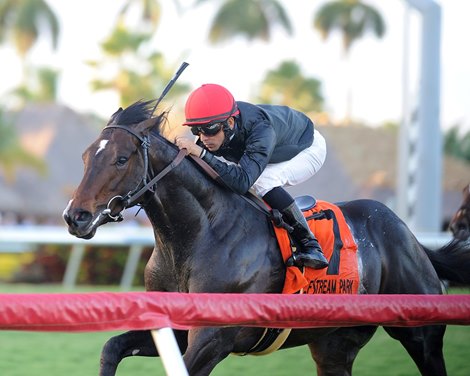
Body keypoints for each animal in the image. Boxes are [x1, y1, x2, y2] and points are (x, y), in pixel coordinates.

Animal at [63, 100, 470, 376]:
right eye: (84, 157)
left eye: (121, 159)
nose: (75, 216)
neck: (198, 236)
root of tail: (409, 235)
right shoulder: (176, 331)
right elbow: (111, 347)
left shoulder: (212, 338)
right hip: (335, 343)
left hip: (421, 334)